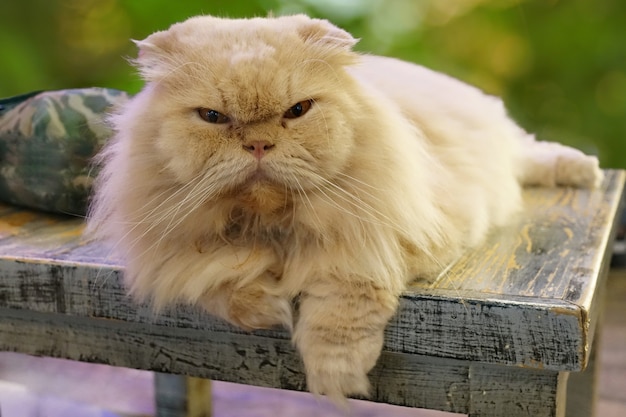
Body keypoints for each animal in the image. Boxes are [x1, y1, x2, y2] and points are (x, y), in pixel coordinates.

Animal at [85, 14, 604, 402]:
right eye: (213, 118)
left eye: (297, 111)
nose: (258, 145)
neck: (271, 228)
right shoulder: (178, 254)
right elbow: (221, 279)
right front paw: (266, 308)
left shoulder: (377, 241)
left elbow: (342, 298)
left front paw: (336, 379)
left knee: (528, 152)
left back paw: (584, 170)